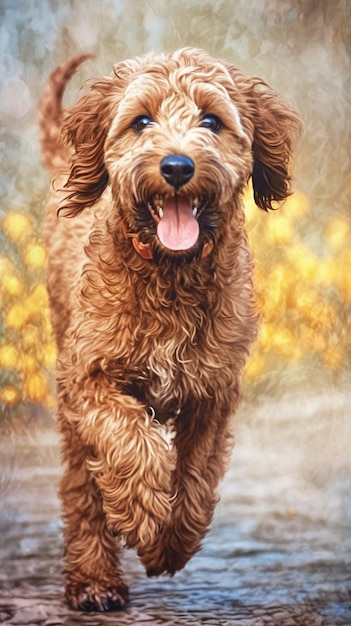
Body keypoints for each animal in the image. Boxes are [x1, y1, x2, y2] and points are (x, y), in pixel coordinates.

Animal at [38, 48, 302, 608]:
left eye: (212, 121)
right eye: (142, 121)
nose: (177, 165)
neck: (170, 270)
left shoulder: (213, 391)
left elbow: (196, 477)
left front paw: (169, 546)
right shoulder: (87, 375)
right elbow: (129, 440)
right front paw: (141, 514)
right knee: (80, 486)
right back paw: (94, 580)